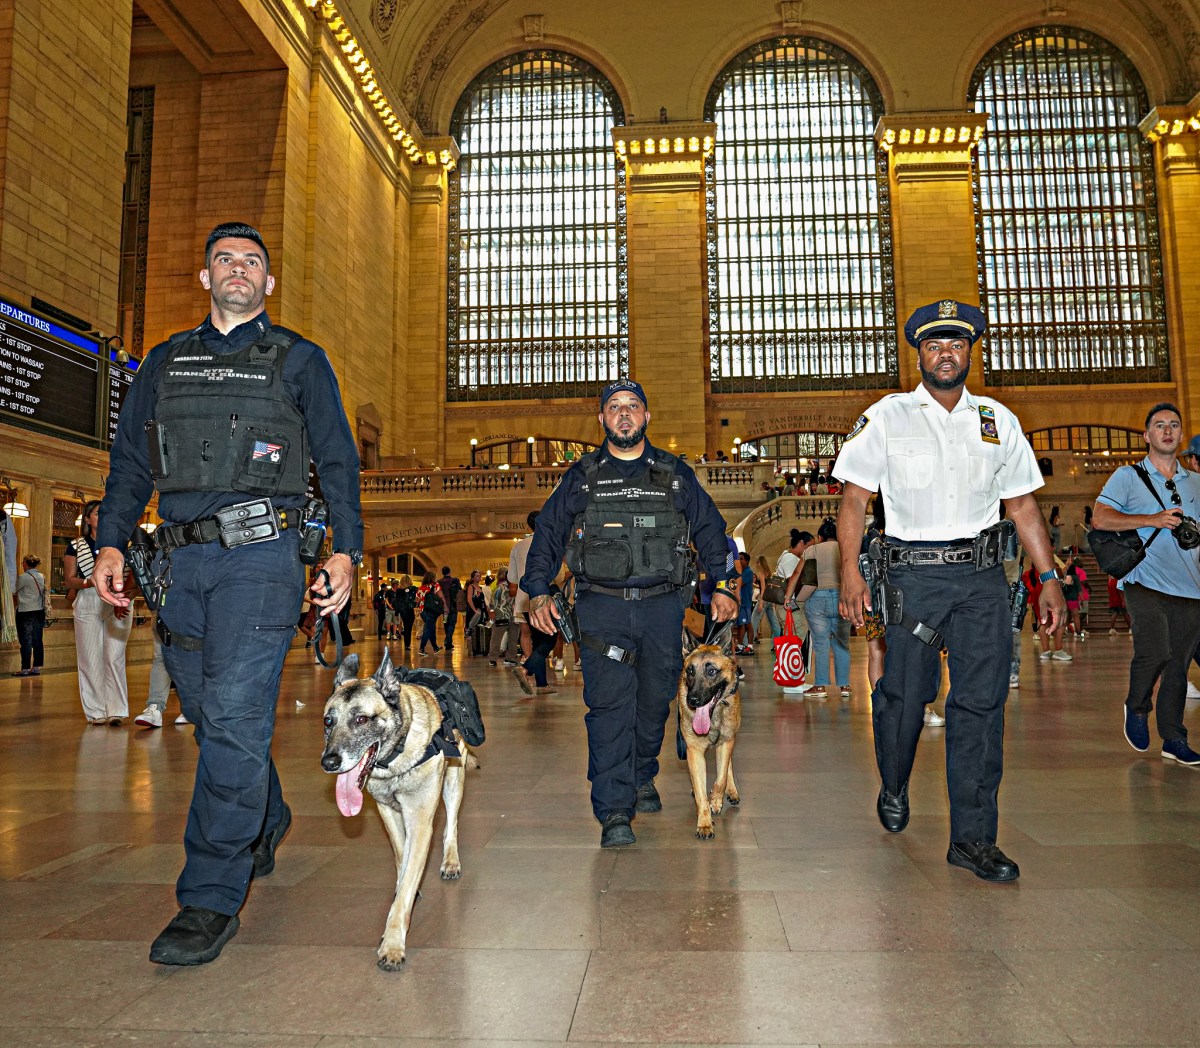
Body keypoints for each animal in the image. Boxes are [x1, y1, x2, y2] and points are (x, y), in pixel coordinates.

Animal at [321, 648, 475, 969]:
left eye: (362, 719)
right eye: (328, 721)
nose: (329, 762)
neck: (395, 756)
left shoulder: (420, 822)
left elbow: (406, 882)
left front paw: (392, 943)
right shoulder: (388, 814)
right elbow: (402, 858)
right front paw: (406, 885)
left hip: (454, 780)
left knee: (451, 824)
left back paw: (451, 861)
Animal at [676, 619, 739, 840]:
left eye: (711, 671)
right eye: (690, 671)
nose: (692, 700)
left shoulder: (726, 742)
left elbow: (721, 778)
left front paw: (716, 800)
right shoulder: (694, 751)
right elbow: (701, 792)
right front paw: (704, 823)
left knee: (728, 766)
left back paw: (731, 791)